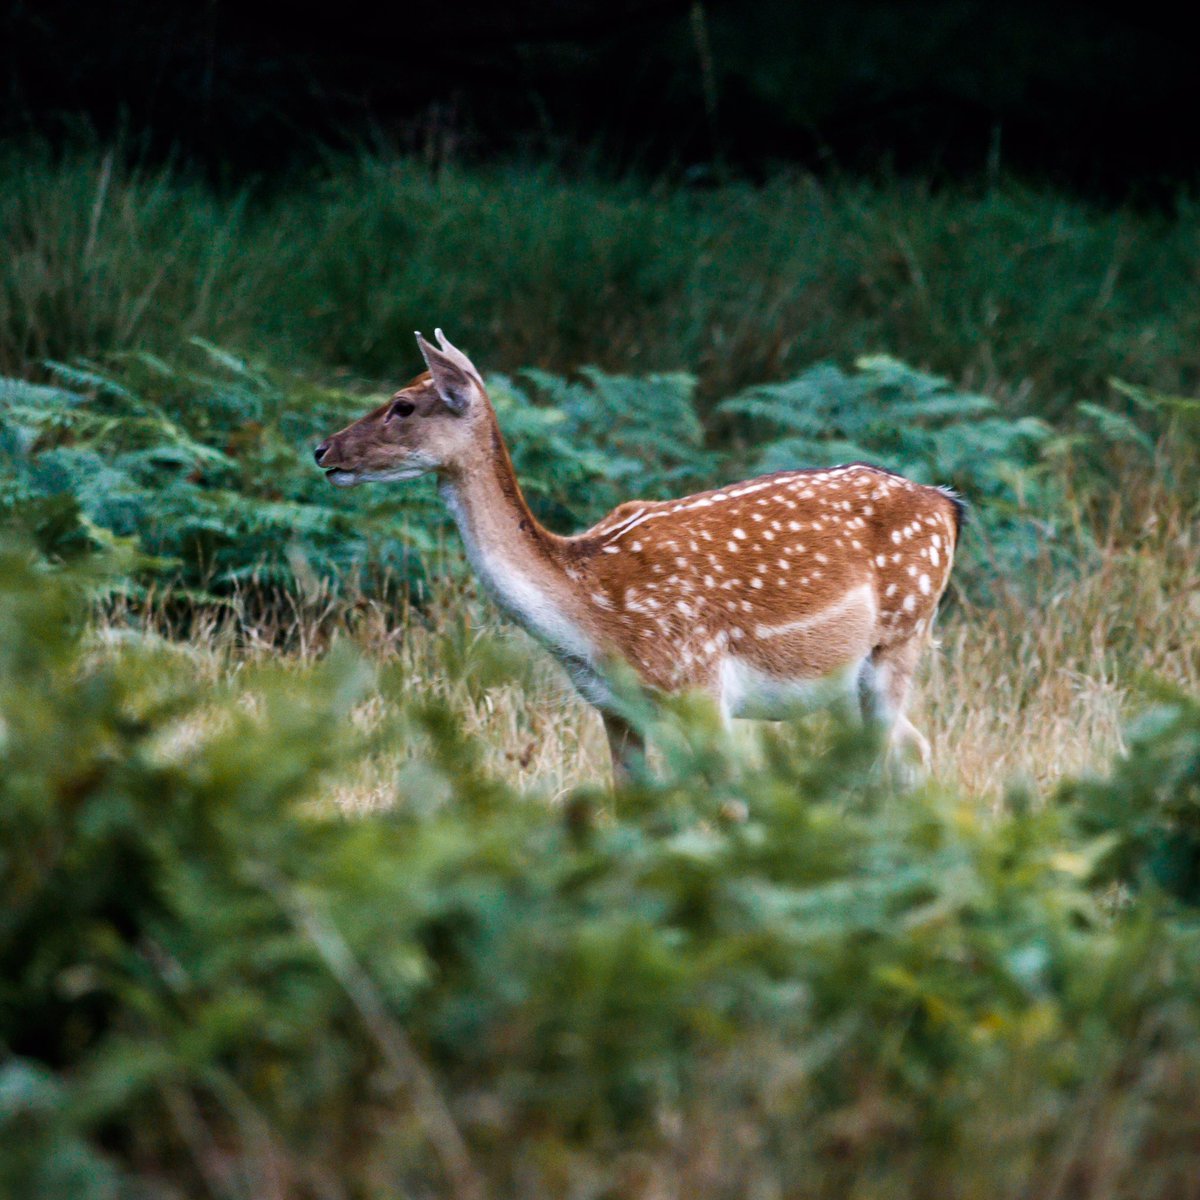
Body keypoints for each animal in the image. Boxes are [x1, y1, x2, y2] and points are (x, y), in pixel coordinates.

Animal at [314, 331, 960, 777]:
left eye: (402, 405)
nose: (322, 449)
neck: (589, 611)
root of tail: (948, 505)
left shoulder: (699, 684)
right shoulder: (616, 709)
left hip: (899, 638)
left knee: (897, 754)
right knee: (910, 748)